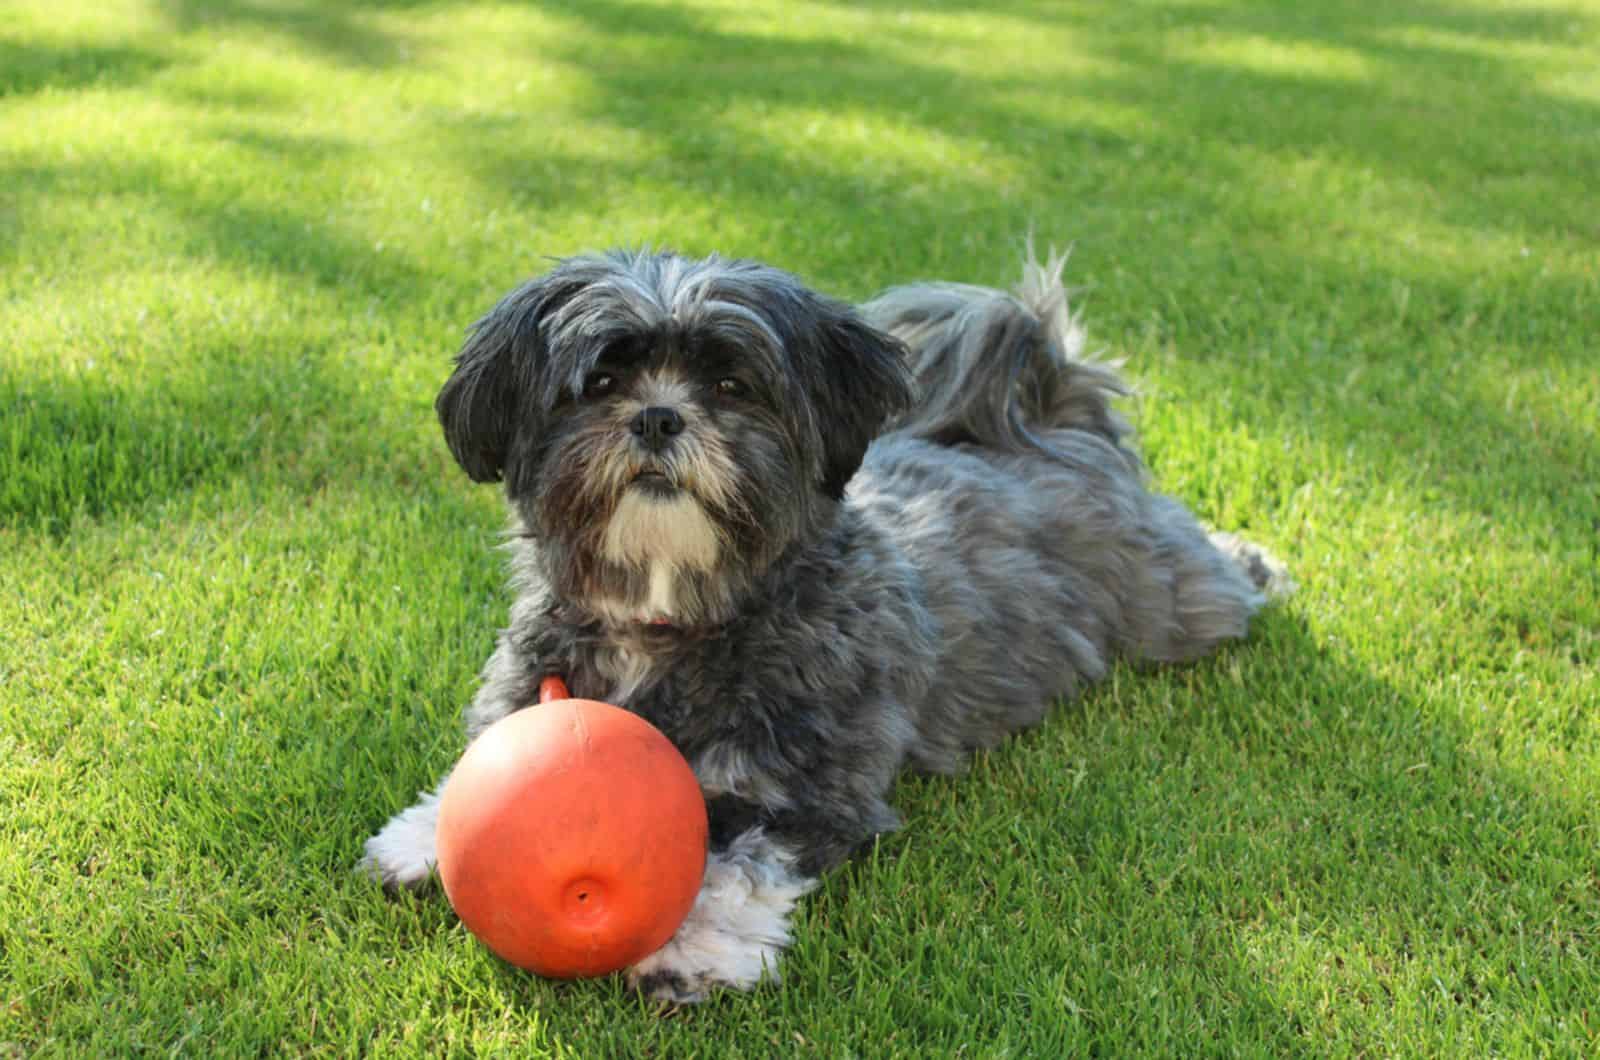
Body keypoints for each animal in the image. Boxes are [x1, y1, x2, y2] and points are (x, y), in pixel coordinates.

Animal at [363, 249, 1286, 1005]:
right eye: (600, 384)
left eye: (731, 386)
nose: (658, 417)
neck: (674, 619)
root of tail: (1057, 426)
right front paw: (423, 835)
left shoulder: (811, 792)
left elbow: (737, 865)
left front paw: (694, 951)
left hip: (1176, 602)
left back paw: (1259, 564)